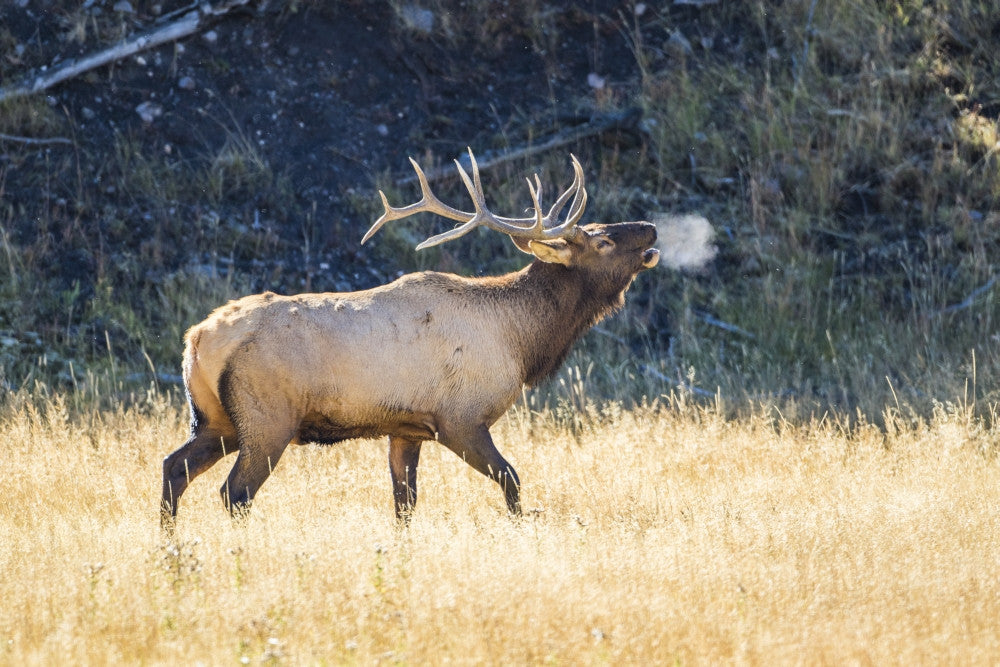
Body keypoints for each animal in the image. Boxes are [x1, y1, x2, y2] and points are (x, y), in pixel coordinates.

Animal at [160, 149, 659, 529]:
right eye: (601, 240)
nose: (651, 227)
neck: (521, 342)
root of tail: (196, 340)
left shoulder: (405, 428)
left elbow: (404, 505)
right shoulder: (460, 419)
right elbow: (512, 481)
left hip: (216, 419)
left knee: (173, 468)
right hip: (266, 419)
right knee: (234, 492)